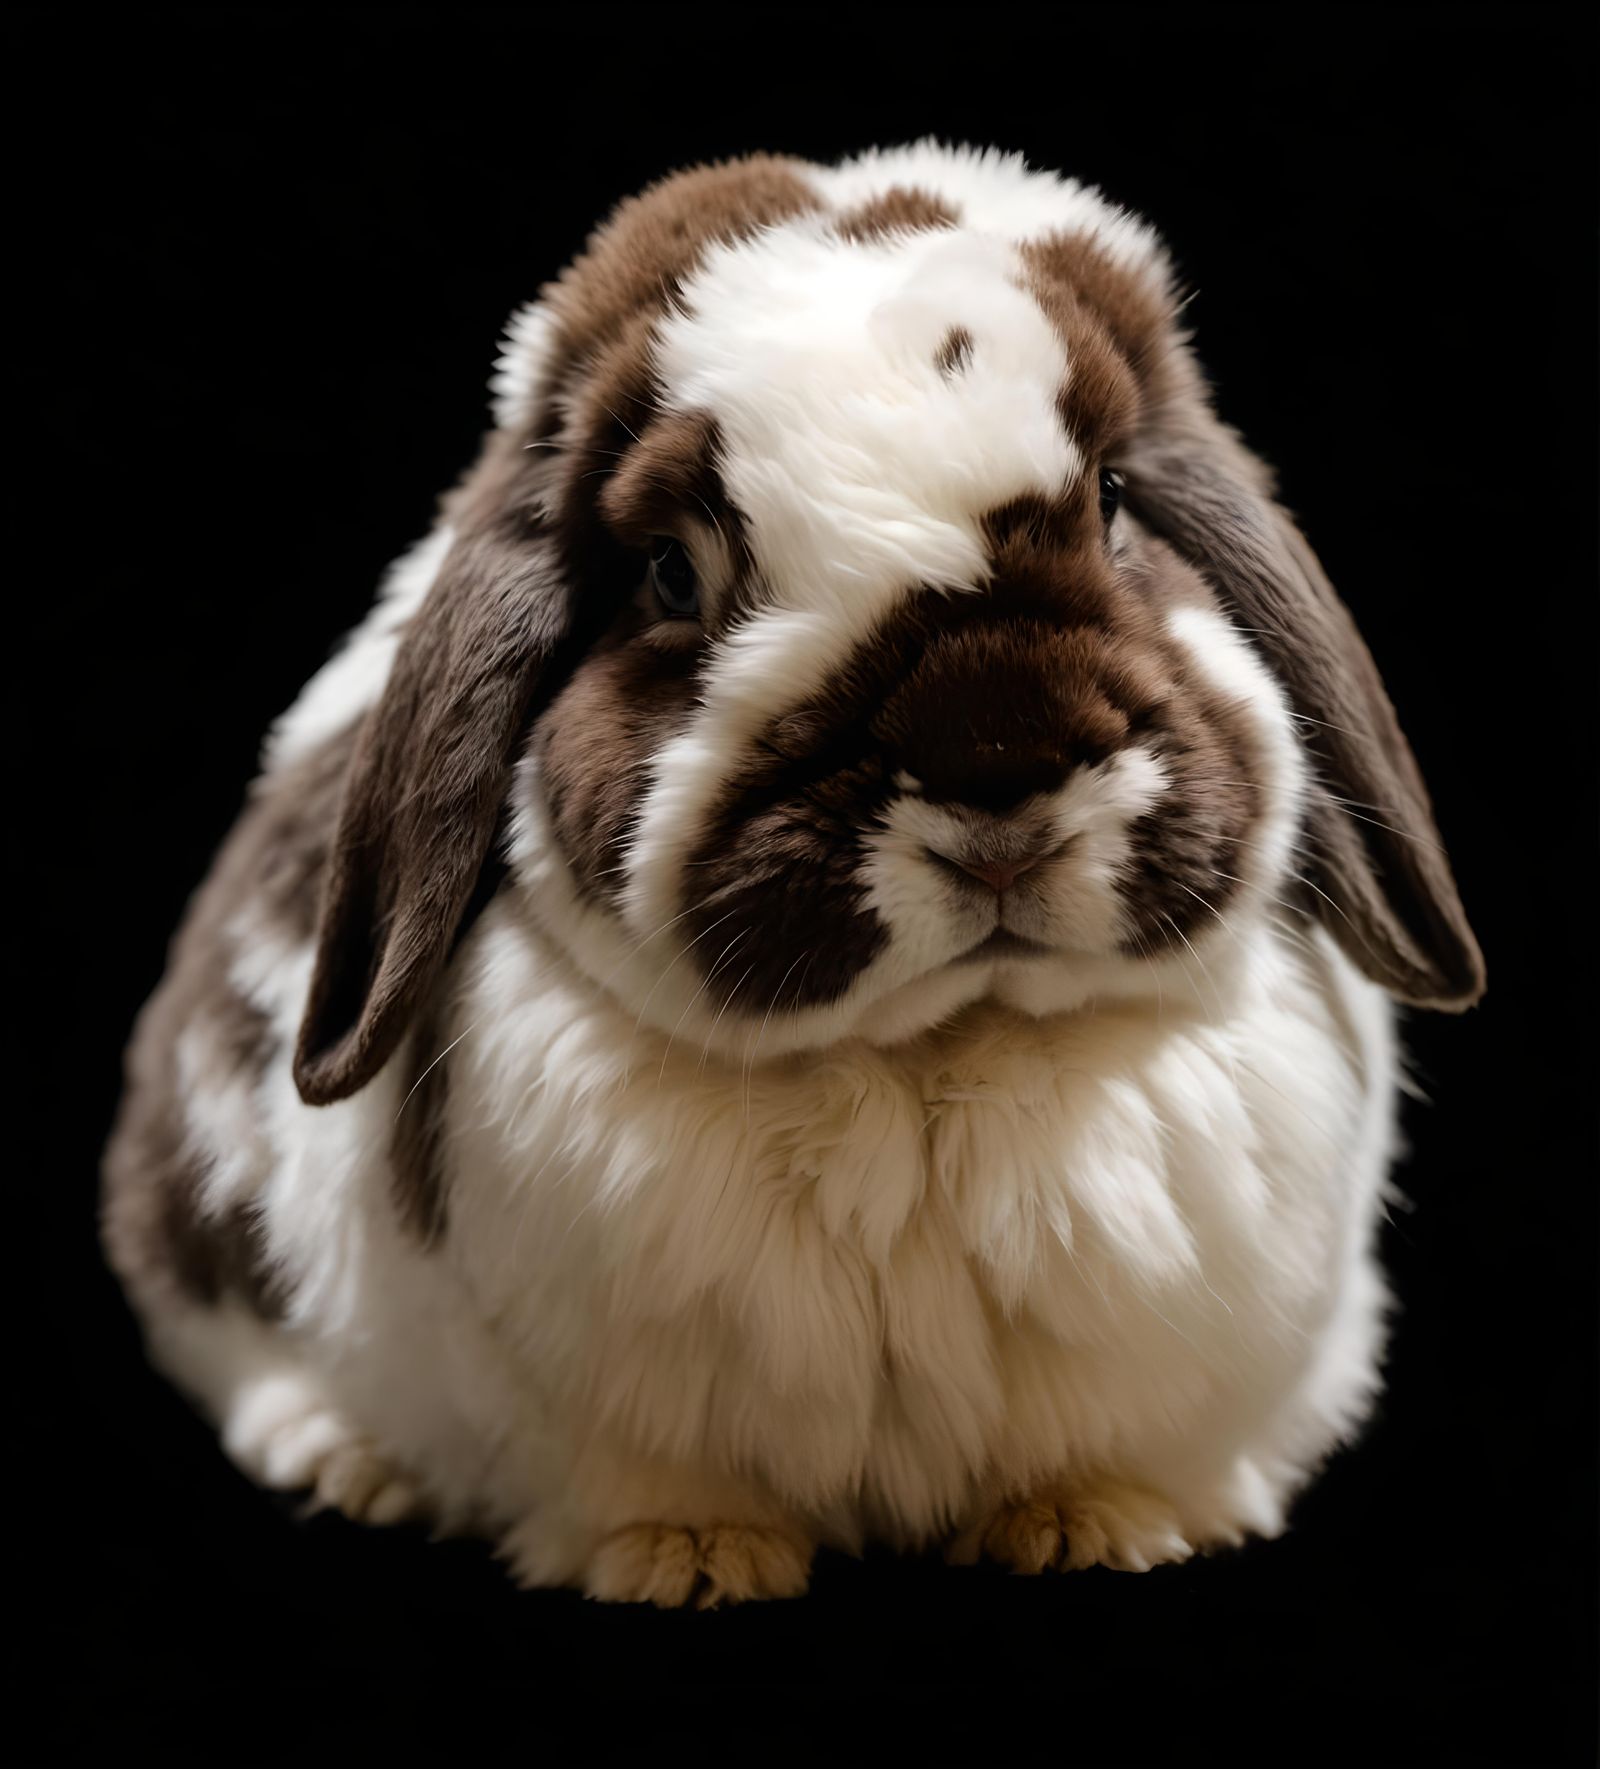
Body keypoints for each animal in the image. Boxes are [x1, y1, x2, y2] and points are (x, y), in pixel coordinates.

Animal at [102, 142, 1484, 1607]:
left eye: (1115, 499)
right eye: (671, 572)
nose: (995, 757)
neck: (935, 1052)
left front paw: (1091, 1528)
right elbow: (644, 1481)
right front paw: (694, 1559)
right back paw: (339, 1457)